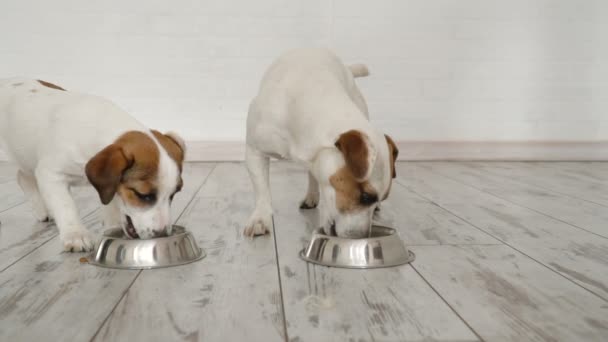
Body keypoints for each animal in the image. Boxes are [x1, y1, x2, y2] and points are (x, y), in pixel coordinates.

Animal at [0, 79, 185, 252]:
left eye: (173, 194)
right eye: (142, 195)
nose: (162, 234)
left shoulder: (109, 186)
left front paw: (112, 224)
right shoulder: (51, 175)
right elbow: (65, 206)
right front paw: (75, 234)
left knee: (22, 177)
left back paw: (41, 210)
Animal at [245, 48, 402, 238]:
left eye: (378, 197)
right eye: (365, 196)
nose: (362, 238)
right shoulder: (254, 150)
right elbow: (262, 190)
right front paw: (260, 219)